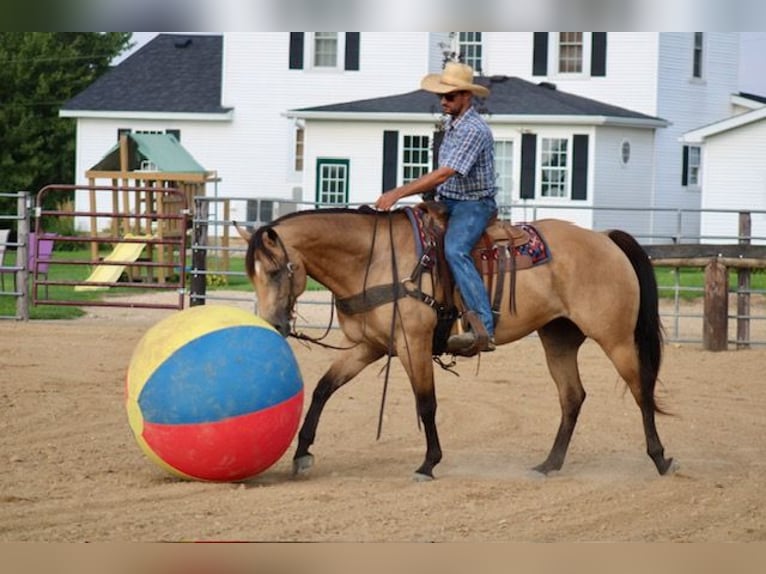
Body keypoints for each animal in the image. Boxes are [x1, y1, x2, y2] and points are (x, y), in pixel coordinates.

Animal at [237, 202, 675, 480]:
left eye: (275, 271)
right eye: (253, 274)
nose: (273, 324)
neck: (373, 259)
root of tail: (605, 238)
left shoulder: (413, 343)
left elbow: (426, 404)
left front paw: (428, 463)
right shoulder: (370, 346)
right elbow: (324, 389)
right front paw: (302, 454)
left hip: (615, 337)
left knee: (641, 390)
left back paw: (660, 459)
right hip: (559, 338)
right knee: (572, 397)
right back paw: (549, 464)